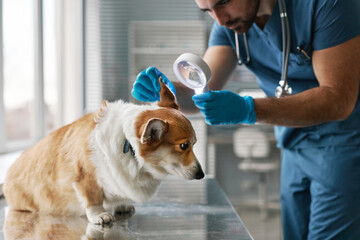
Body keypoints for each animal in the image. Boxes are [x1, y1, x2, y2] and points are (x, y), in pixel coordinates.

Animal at [2, 79, 204, 225]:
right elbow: (92, 198)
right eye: (184, 146)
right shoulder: (85, 178)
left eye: (194, 143)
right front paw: (100, 215)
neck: (128, 145)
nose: (201, 175)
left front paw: (121, 205)